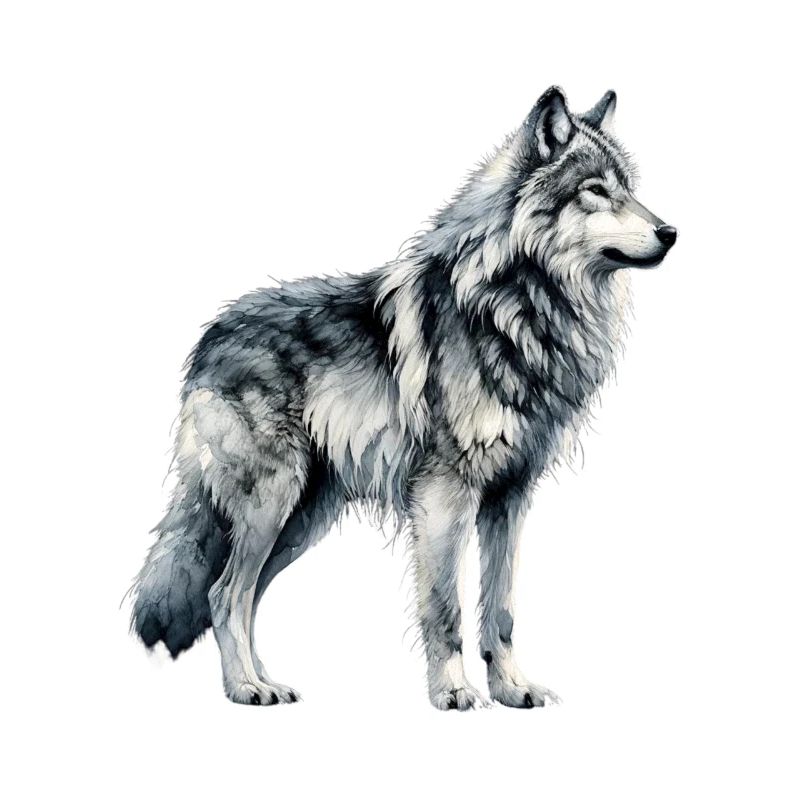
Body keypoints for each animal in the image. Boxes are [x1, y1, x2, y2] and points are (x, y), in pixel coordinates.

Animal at [131, 87, 677, 710]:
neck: (518, 308)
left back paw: (265, 679)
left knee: (245, 598)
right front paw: (455, 692)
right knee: (225, 595)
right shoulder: (444, 494)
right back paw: (247, 688)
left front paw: (512, 690)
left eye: (629, 188)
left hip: (297, 523)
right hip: (271, 504)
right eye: (596, 191)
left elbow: (501, 609)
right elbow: (446, 607)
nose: (671, 232)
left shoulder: (510, 496)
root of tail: (209, 338)